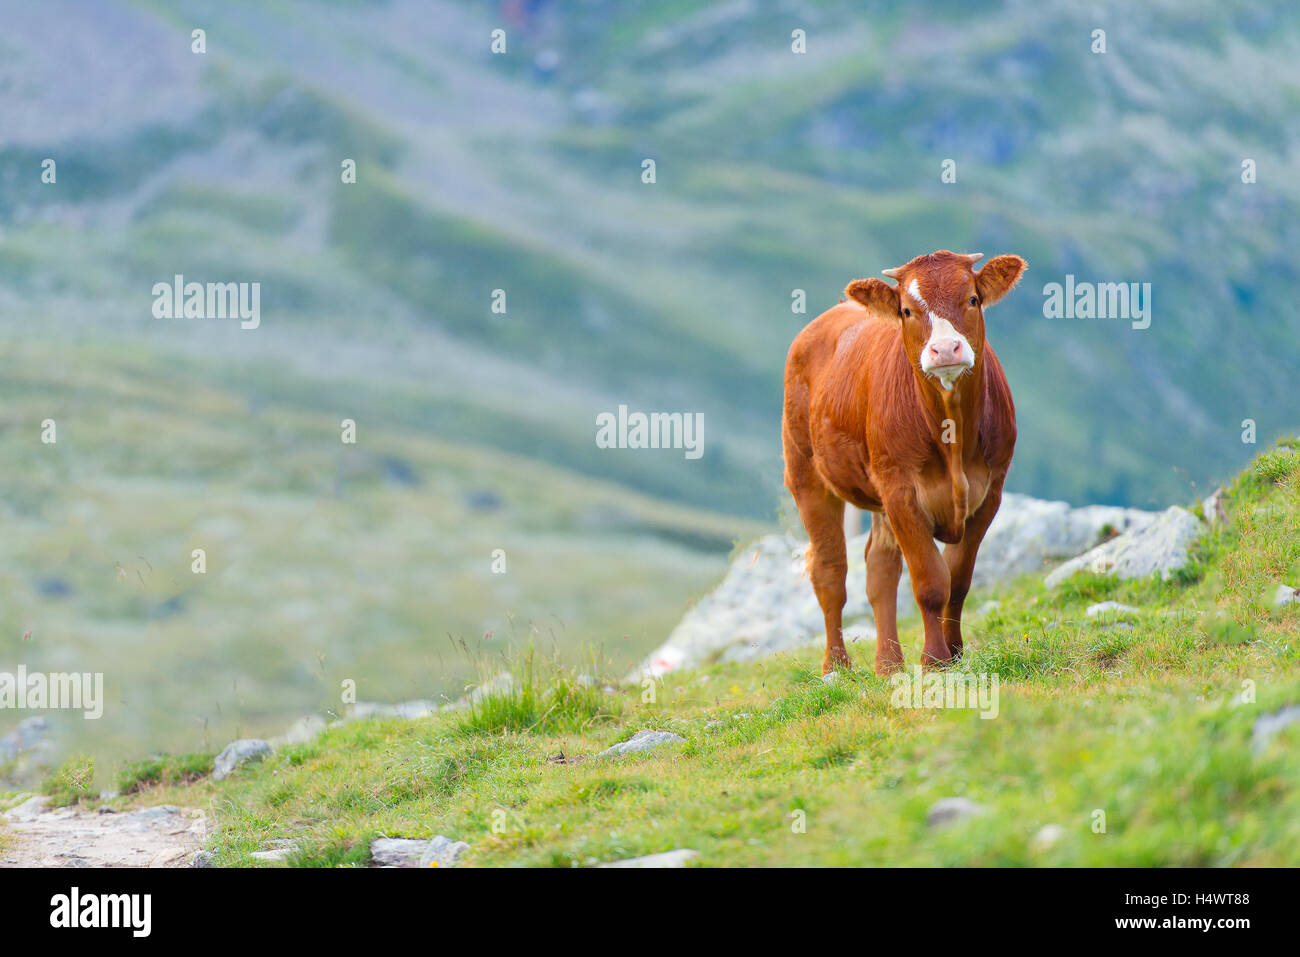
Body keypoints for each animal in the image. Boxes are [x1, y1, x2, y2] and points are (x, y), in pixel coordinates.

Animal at [782, 250, 1024, 675]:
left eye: (972, 299)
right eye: (908, 311)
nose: (946, 349)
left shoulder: (990, 492)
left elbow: (958, 580)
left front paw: (955, 652)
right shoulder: (900, 491)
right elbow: (930, 582)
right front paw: (935, 660)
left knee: (879, 569)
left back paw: (889, 665)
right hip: (807, 474)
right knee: (830, 572)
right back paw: (836, 666)